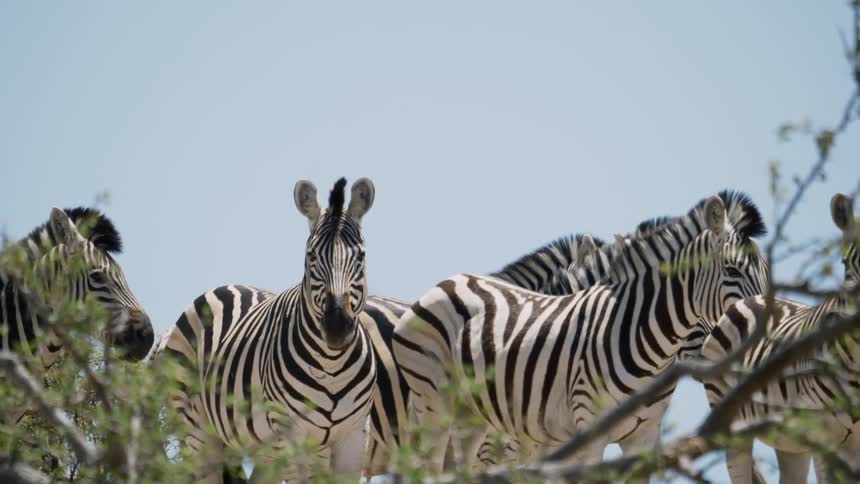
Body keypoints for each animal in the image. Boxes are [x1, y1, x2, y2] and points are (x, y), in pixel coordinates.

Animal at [153, 178, 377, 483]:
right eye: (311, 256)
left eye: (360, 256)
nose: (337, 327)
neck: (332, 366)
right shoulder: (291, 434)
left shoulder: (353, 436)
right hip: (197, 433)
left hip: (267, 450)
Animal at [390, 191, 769, 473]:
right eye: (732, 270)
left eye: (769, 274)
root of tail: (445, 282)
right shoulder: (579, 432)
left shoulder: (641, 437)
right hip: (435, 405)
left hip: (469, 419)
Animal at [700, 192, 860, 484]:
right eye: (844, 263)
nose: (837, 322)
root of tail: (754, 297)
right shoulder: (826, 435)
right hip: (730, 423)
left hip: (790, 441)